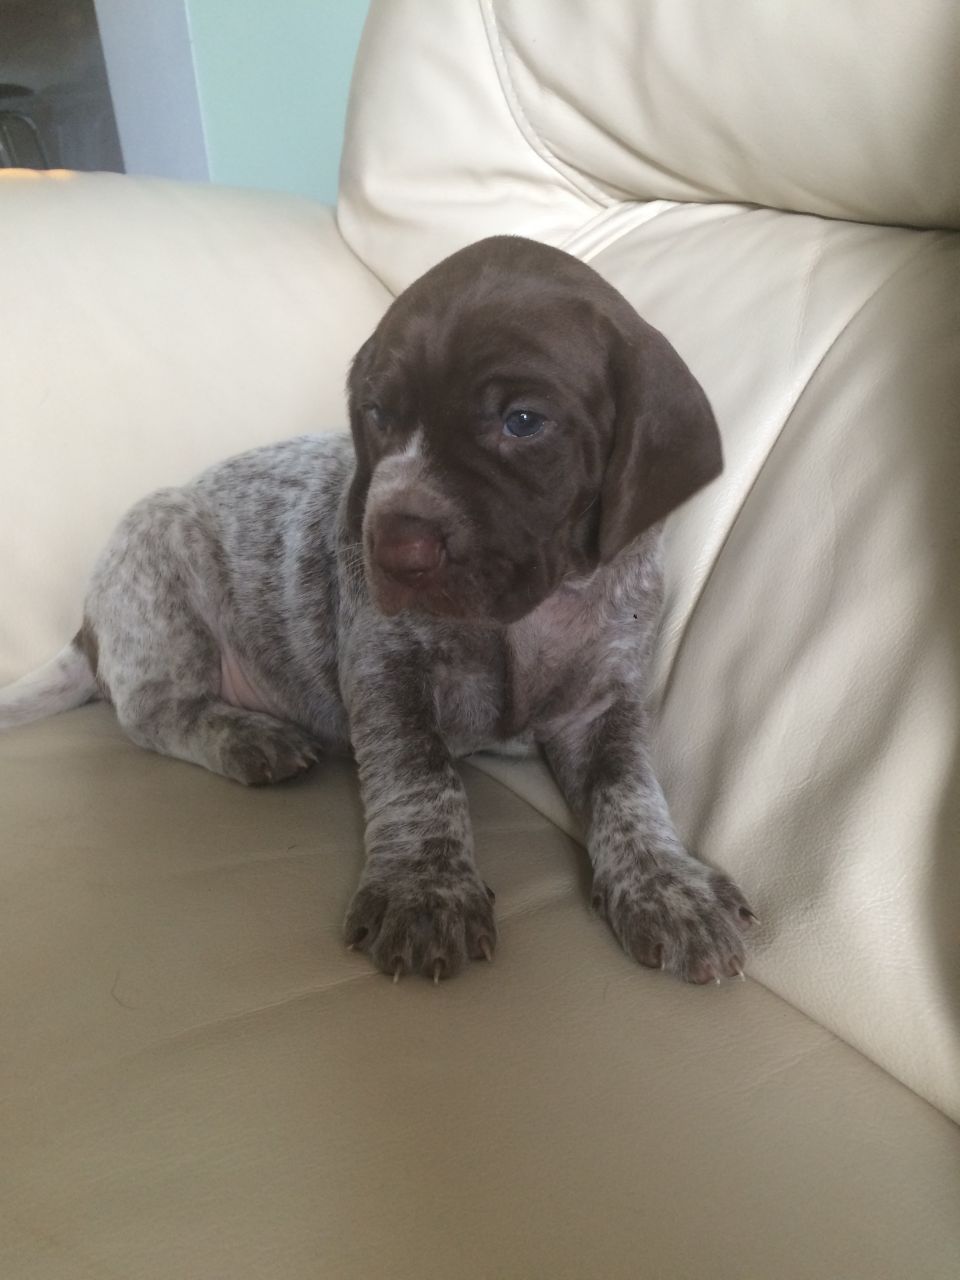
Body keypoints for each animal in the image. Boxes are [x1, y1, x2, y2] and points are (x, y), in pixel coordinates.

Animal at [0, 235, 757, 983]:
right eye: (378, 414)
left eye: (523, 422)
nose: (392, 550)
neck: (529, 612)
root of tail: (88, 625)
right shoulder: (386, 667)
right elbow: (421, 772)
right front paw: (424, 889)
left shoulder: (602, 701)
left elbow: (629, 789)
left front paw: (670, 884)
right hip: (158, 554)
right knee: (150, 713)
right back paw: (245, 737)